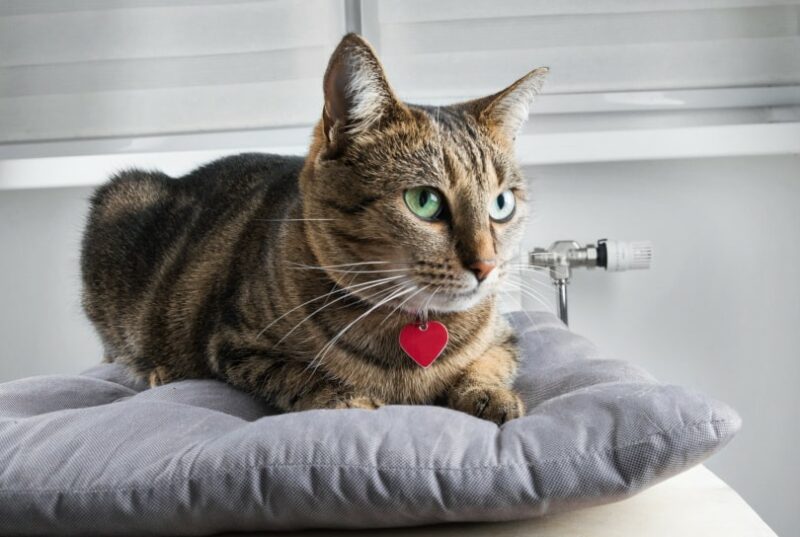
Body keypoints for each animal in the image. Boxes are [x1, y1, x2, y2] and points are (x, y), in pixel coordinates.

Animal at [81, 34, 548, 428]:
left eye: (501, 204)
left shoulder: (504, 338)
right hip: (122, 198)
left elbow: (488, 364)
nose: (487, 266)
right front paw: (346, 397)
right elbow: (297, 374)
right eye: (424, 201)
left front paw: (489, 394)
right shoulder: (236, 343)